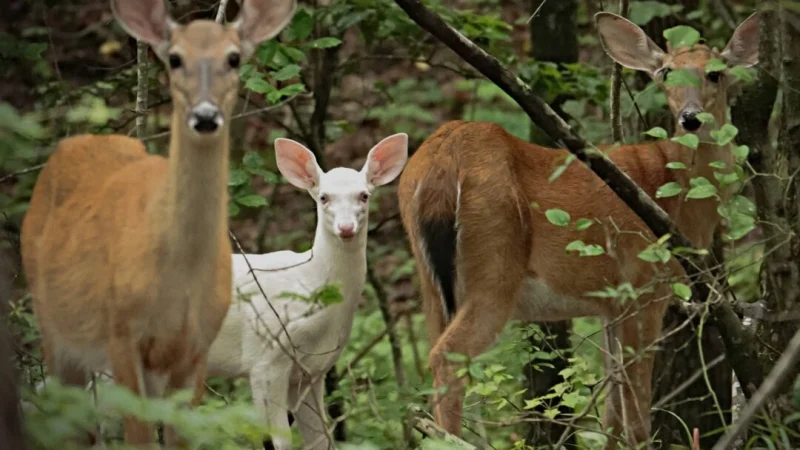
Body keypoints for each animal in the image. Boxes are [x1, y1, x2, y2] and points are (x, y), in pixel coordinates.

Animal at [19, 0, 296, 445]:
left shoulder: (197, 346)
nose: (205, 116)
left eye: (234, 58)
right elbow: (139, 437)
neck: (178, 277)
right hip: (54, 326)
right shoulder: (122, 335)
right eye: (175, 58)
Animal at [203, 133, 408, 449]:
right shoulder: (265, 359)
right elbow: (281, 442)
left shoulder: (313, 372)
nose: (346, 228)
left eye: (364, 195)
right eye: (323, 197)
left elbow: (321, 440)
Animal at [397, 11, 758, 450]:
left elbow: (612, 410)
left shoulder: (609, 304)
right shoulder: (642, 289)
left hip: (430, 282)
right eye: (666, 72)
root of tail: (440, 160)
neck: (676, 197)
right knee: (446, 359)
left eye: (715, 73)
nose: (690, 117)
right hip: (494, 266)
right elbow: (636, 413)